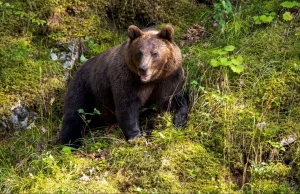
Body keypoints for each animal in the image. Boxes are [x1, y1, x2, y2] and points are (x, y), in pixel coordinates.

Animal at [60, 24, 188, 146]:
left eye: (154, 53)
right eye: (139, 53)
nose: (143, 69)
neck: (152, 80)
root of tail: (79, 68)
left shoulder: (168, 78)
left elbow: (171, 100)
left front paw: (179, 121)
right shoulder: (127, 79)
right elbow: (127, 106)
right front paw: (136, 137)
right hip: (85, 88)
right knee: (75, 114)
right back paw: (71, 143)